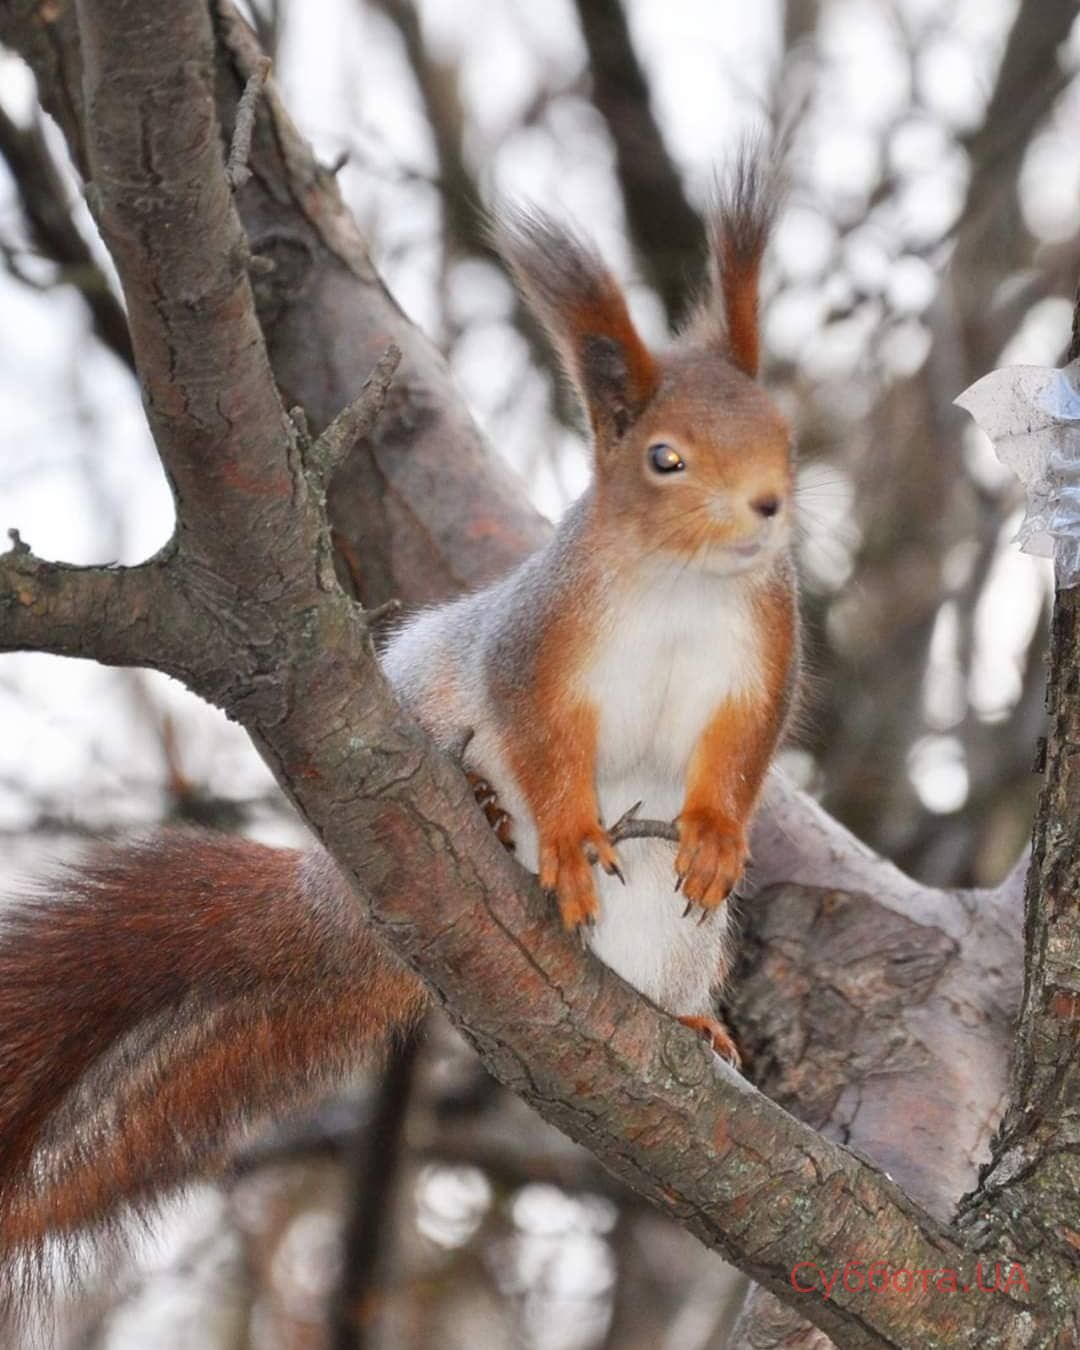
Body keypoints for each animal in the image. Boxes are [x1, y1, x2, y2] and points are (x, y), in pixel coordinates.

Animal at [0, 155, 793, 1274]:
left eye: (784, 431)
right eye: (665, 459)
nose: (771, 506)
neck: (686, 582)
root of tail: (343, 901)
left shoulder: (763, 656)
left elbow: (741, 756)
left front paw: (718, 836)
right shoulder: (533, 641)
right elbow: (537, 728)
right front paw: (562, 833)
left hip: (675, 940)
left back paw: (687, 1025)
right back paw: (489, 814)